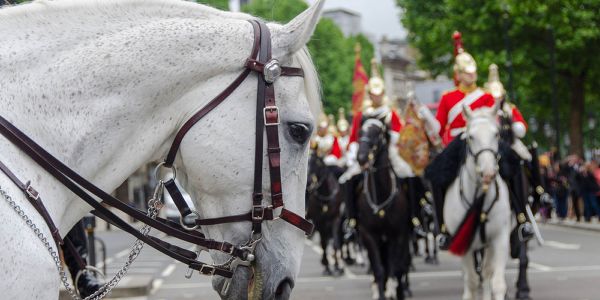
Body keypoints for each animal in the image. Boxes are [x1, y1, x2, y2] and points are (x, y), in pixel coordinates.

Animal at [356, 118, 412, 298]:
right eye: (360, 132)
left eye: (377, 133)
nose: (361, 158)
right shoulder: (369, 235)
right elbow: (379, 269)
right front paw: (380, 293)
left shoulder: (397, 235)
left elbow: (394, 269)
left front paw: (392, 291)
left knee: (400, 267)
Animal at [446, 104, 510, 300]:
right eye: (471, 137)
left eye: (496, 134)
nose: (488, 173)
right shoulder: (463, 244)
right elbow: (472, 282)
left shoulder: (500, 238)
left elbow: (497, 283)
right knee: (471, 279)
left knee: (487, 272)